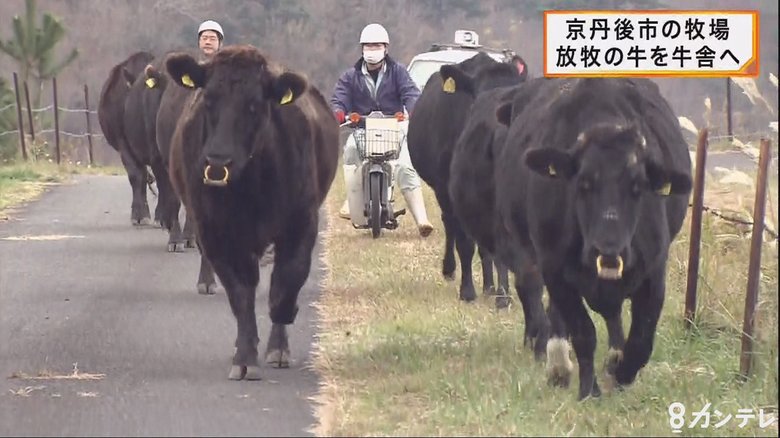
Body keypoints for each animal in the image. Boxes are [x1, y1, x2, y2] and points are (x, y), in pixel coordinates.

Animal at [168, 45, 338, 380]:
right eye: (208, 98)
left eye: (254, 105)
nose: (218, 161)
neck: (251, 187)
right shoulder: (217, 236)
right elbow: (241, 295)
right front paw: (245, 357)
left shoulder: (301, 225)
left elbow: (284, 287)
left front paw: (278, 346)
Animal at [406, 51, 528, 304]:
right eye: (480, 99)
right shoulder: (452, 190)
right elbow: (465, 243)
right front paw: (467, 291)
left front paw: (503, 294)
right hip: (445, 192)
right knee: (451, 225)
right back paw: (450, 270)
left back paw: (490, 286)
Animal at [496, 77, 692, 398]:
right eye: (583, 183)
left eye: (638, 187)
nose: (608, 249)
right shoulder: (554, 269)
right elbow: (583, 332)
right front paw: (589, 390)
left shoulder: (654, 272)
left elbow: (641, 340)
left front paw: (621, 373)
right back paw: (559, 366)